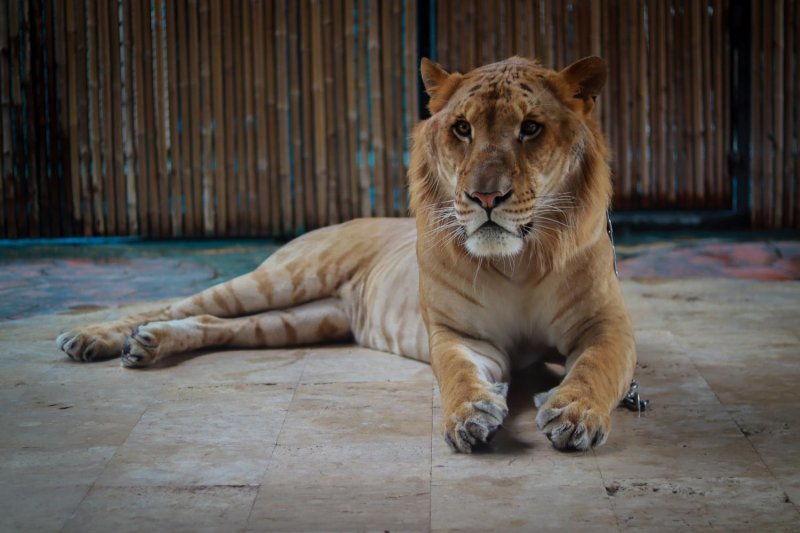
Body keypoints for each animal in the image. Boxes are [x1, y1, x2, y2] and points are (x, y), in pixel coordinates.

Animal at [57, 55, 636, 453]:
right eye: (462, 128)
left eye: (531, 128)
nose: (485, 197)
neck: (518, 261)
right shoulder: (461, 336)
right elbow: (457, 374)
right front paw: (470, 413)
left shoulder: (605, 325)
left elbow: (599, 367)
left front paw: (575, 413)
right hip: (282, 278)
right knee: (181, 304)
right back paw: (97, 338)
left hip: (302, 320)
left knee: (211, 323)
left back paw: (147, 344)